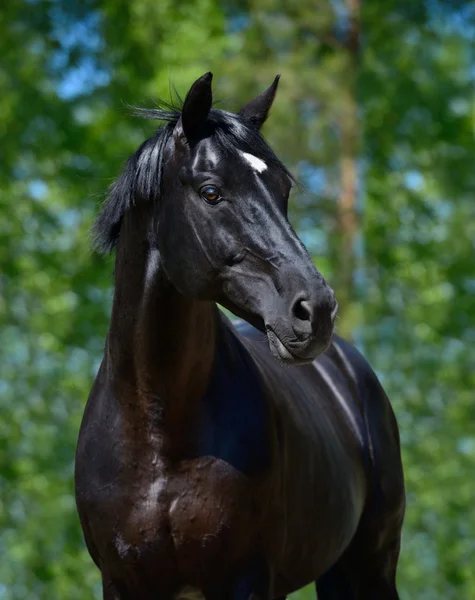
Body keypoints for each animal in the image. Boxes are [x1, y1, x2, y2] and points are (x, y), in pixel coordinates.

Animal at [75, 72, 406, 596]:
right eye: (211, 192)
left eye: (283, 187)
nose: (316, 310)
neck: (158, 433)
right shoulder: (122, 583)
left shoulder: (245, 580)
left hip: (370, 566)